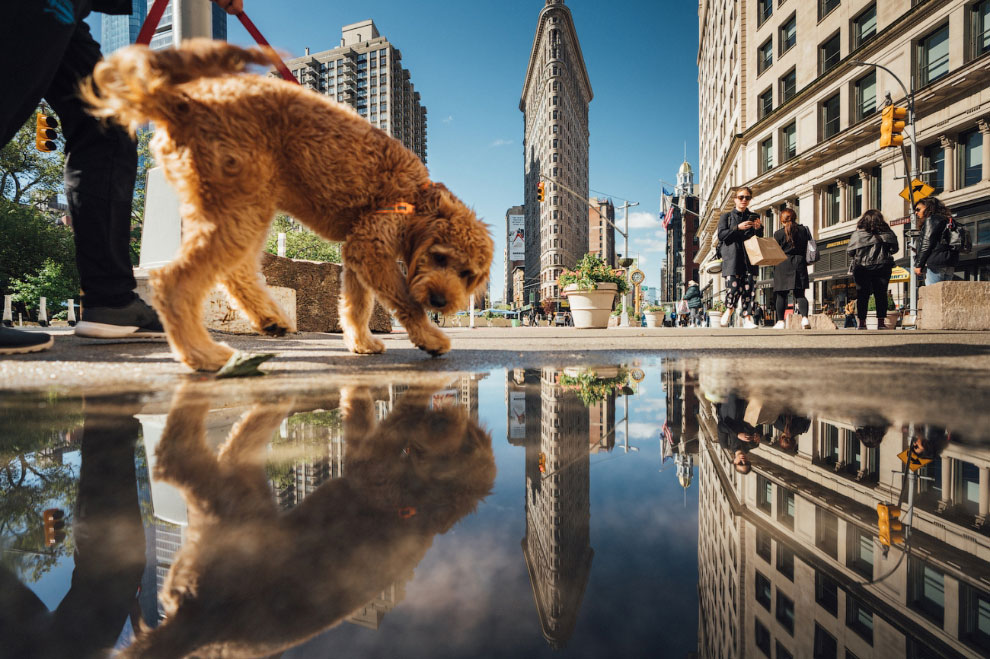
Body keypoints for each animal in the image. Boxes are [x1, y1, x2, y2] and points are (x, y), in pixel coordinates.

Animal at [81, 40, 492, 372]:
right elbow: (406, 301)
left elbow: (356, 306)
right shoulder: (371, 246)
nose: (441, 300)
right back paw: (204, 354)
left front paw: (360, 342)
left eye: (468, 274)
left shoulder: (356, 254)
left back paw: (266, 318)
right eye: (439, 257)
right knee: (175, 282)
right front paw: (430, 336)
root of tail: (182, 101)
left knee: (235, 271)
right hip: (244, 205)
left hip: (243, 205)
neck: (418, 199)